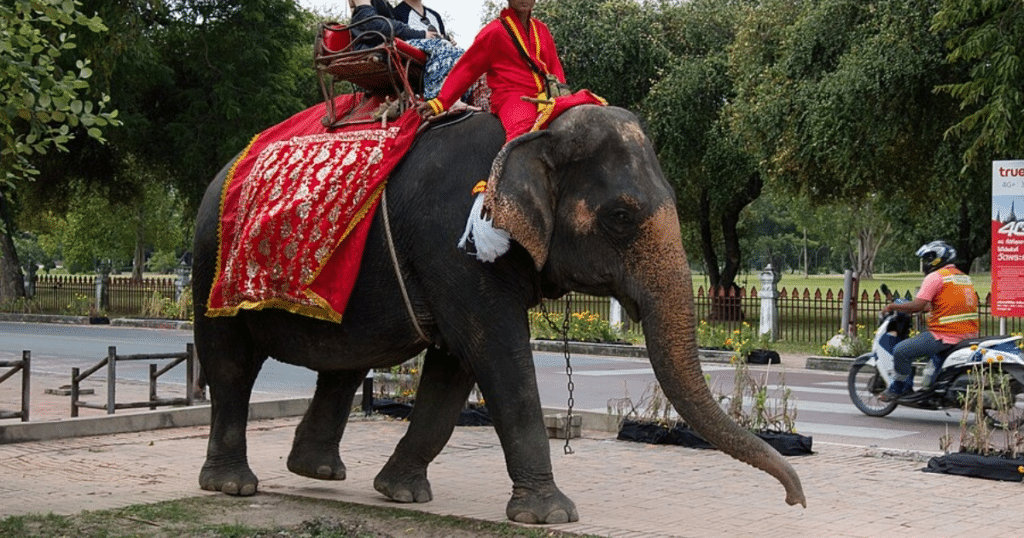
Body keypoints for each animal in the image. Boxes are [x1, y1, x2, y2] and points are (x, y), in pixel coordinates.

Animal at [191, 104, 806, 525]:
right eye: (621, 216)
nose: (796, 501)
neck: (537, 128)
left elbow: (455, 367)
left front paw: (402, 494)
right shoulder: (452, 244)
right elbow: (497, 352)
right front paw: (552, 516)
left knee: (344, 363)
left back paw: (316, 472)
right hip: (208, 263)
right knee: (231, 365)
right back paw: (234, 487)